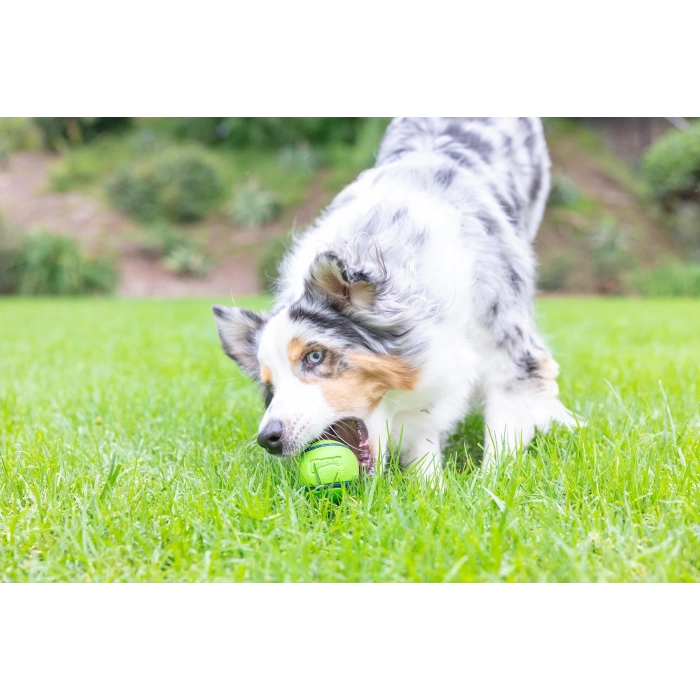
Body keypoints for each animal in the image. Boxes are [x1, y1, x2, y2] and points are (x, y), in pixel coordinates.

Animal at [213, 117, 576, 484]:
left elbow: (505, 434)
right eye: (270, 387)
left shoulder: (509, 350)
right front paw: (432, 486)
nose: (268, 438)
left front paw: (490, 484)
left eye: (314, 356)